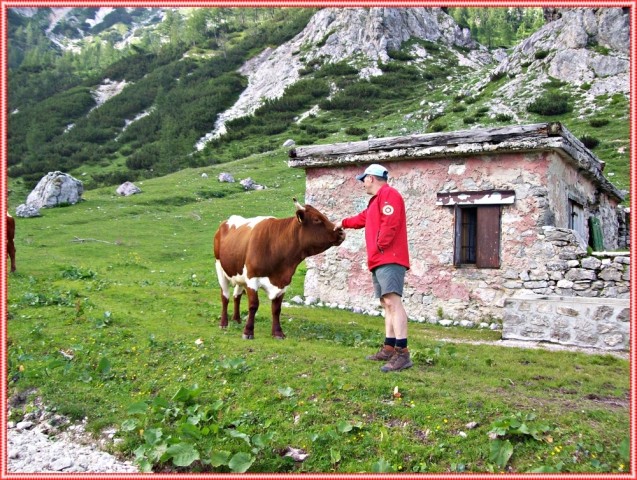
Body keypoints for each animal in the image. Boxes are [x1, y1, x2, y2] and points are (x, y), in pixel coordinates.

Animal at [212, 197, 342, 340]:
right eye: (317, 219)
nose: (341, 232)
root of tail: (226, 222)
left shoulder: (283, 282)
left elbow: (276, 309)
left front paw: (278, 332)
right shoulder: (252, 278)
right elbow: (253, 305)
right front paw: (248, 331)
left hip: (239, 274)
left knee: (237, 296)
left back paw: (236, 319)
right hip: (220, 268)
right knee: (225, 296)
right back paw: (224, 323)